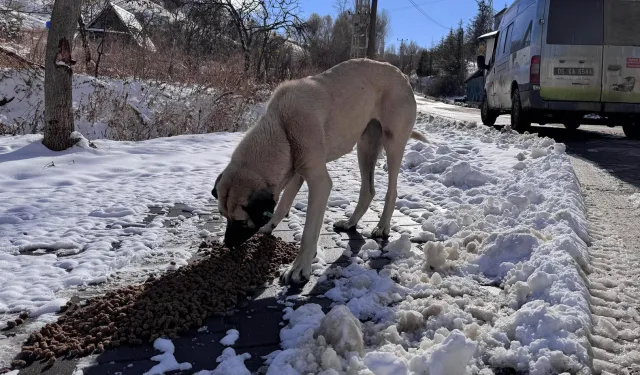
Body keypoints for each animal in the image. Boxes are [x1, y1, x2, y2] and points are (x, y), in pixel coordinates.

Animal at [212, 57, 428, 284]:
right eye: (223, 215)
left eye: (240, 221)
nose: (227, 244)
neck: (282, 127)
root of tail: (403, 76)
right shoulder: (296, 170)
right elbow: (283, 203)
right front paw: (270, 225)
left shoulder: (319, 182)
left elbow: (309, 232)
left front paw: (299, 268)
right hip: (365, 146)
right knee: (368, 190)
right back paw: (350, 223)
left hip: (393, 143)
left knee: (391, 190)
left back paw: (382, 226)